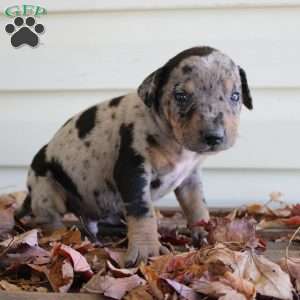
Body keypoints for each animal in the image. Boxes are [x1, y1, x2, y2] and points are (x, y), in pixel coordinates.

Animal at [17, 45, 251, 266]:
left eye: (235, 96)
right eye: (181, 96)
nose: (214, 136)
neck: (174, 142)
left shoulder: (190, 178)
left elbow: (197, 205)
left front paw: (205, 232)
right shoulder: (132, 169)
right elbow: (142, 211)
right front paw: (146, 250)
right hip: (47, 191)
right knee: (50, 220)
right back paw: (58, 236)